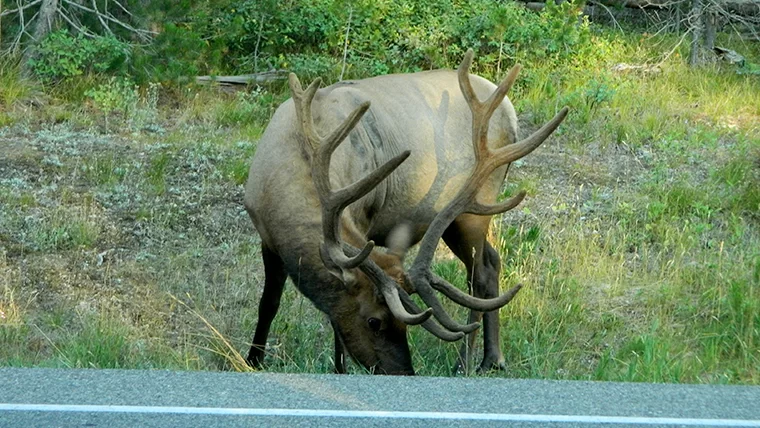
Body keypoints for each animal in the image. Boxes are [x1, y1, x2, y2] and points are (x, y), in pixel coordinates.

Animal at [242, 50, 564, 374]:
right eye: (374, 321)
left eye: (405, 324)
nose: (405, 372)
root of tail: (510, 110)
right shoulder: (266, 236)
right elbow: (268, 304)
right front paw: (253, 359)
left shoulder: (363, 217)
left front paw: (338, 369)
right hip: (457, 219)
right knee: (493, 259)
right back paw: (493, 357)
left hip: (476, 205)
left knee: (480, 272)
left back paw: (468, 362)